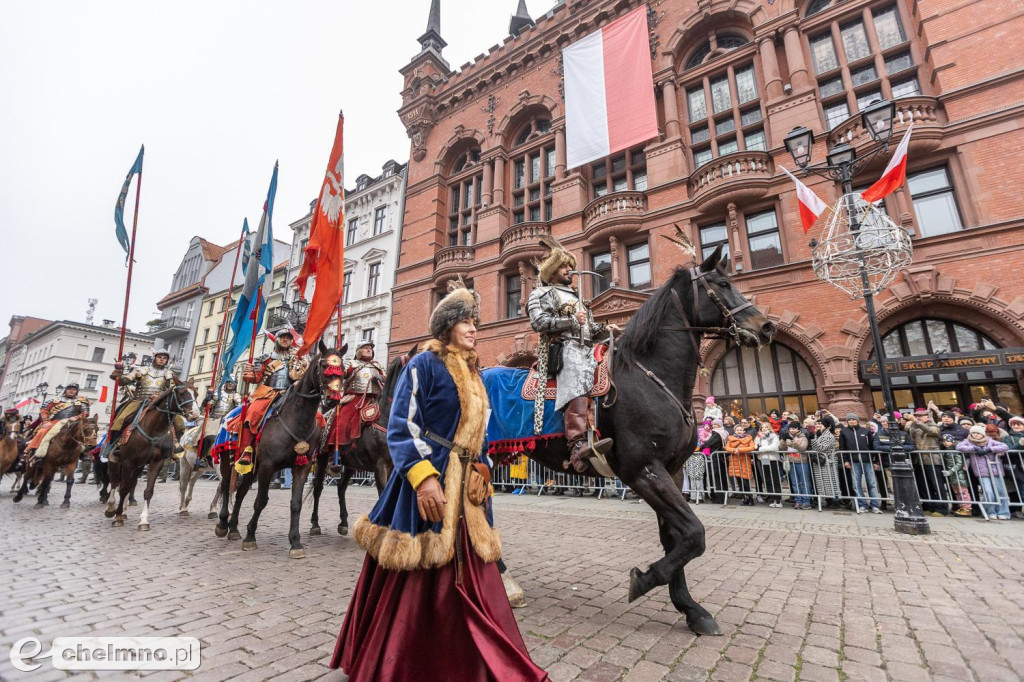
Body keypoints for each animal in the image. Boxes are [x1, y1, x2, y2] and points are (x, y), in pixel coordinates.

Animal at [102, 385, 198, 528]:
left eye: (196, 394)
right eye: (182, 393)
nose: (194, 413)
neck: (153, 428)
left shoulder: (156, 462)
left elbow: (147, 491)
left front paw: (143, 521)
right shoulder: (128, 462)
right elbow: (123, 489)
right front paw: (117, 517)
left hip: (139, 467)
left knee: (129, 483)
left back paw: (124, 511)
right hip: (116, 461)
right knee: (115, 481)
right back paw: (111, 508)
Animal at [216, 339, 344, 557]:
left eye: (342, 367)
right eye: (324, 365)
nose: (333, 398)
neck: (296, 419)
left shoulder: (301, 467)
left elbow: (296, 503)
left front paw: (295, 543)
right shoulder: (268, 467)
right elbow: (261, 500)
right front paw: (250, 536)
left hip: (252, 468)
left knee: (240, 492)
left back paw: (233, 528)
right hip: (228, 459)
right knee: (226, 486)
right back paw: (223, 524)